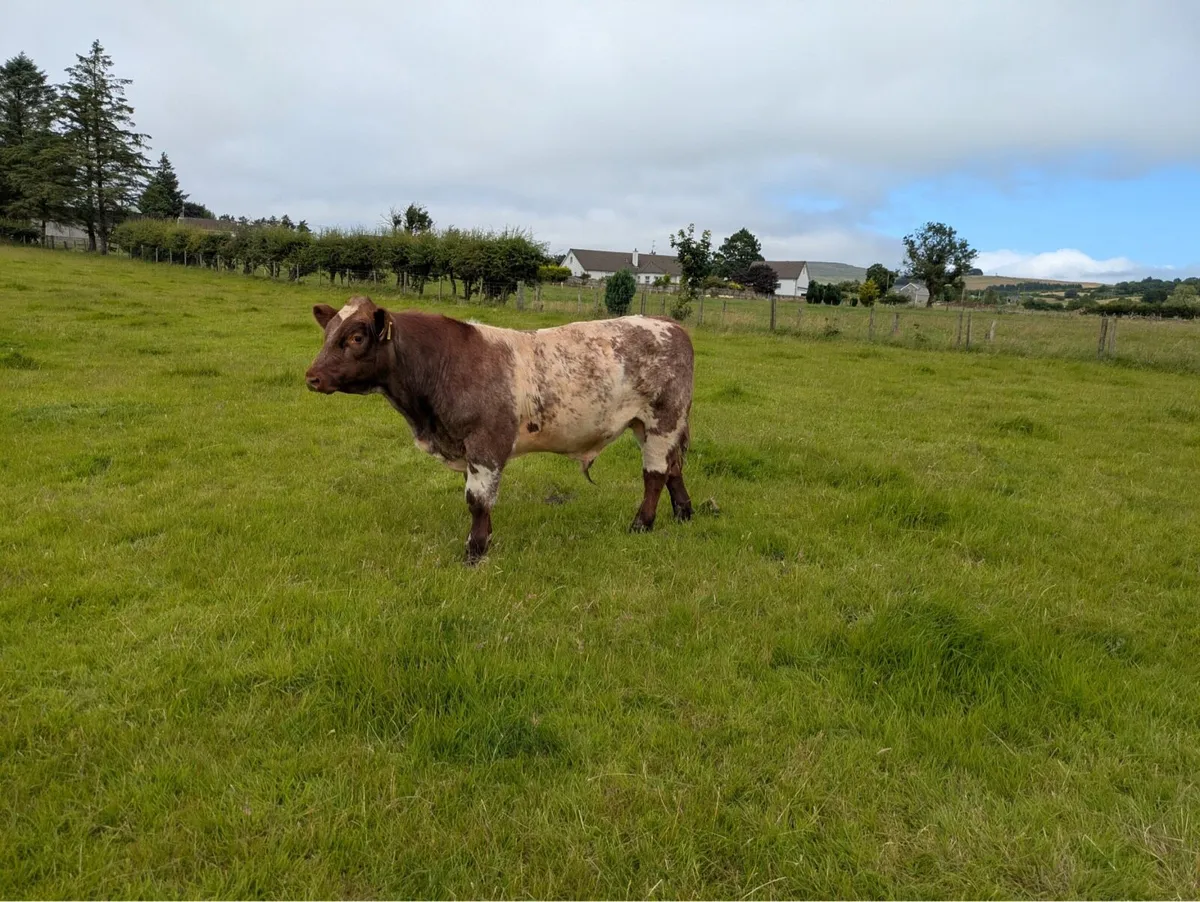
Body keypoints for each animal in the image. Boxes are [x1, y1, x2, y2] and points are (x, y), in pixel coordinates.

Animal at [304, 296, 694, 563]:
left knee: (655, 474)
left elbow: (477, 499)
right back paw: (684, 514)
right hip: (649, 425)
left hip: (663, 419)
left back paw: (642, 524)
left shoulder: (486, 443)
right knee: (674, 468)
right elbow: (479, 497)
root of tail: (666, 323)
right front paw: (485, 540)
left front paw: (475, 551)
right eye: (327, 334)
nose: (312, 377)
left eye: (356, 338)